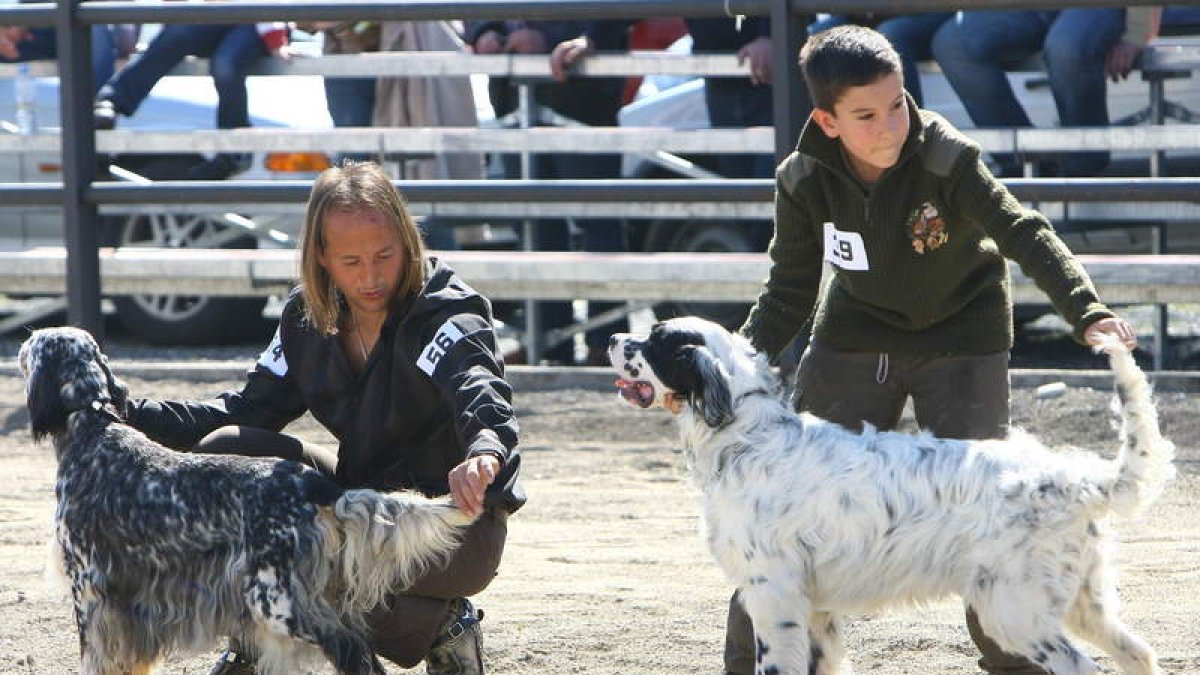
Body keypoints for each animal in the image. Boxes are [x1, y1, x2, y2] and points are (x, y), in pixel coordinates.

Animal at [17, 324, 477, 667]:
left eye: (32, 344)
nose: (22, 343)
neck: (92, 426)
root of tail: (314, 484)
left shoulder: (88, 586)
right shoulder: (130, 601)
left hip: (276, 599)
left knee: (351, 648)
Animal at [609, 317, 1171, 672]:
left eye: (654, 341)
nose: (614, 337)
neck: (747, 435)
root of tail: (1075, 478)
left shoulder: (774, 598)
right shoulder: (816, 611)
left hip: (1016, 610)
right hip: (1083, 604)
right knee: (1139, 653)